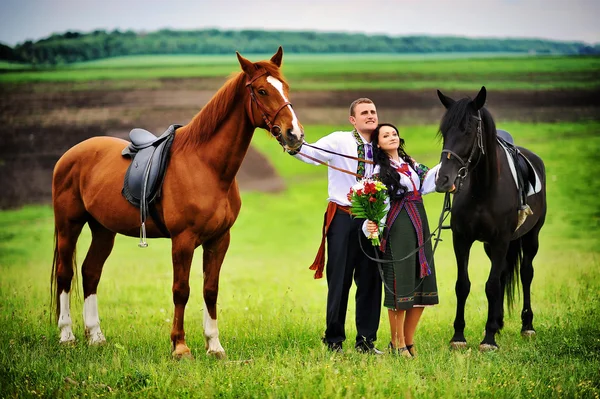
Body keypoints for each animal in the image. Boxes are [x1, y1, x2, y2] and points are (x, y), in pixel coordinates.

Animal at [50, 47, 304, 360]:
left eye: (285, 87)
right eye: (262, 90)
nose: (295, 135)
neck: (206, 166)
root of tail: (70, 155)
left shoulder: (219, 239)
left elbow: (210, 289)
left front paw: (214, 345)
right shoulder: (182, 240)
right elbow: (181, 290)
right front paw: (180, 347)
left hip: (103, 230)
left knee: (90, 272)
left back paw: (96, 337)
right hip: (69, 225)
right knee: (65, 273)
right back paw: (67, 336)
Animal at [434, 86, 548, 350]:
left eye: (467, 130)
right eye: (444, 131)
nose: (442, 179)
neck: (483, 188)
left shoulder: (500, 241)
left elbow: (492, 286)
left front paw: (488, 340)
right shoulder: (462, 240)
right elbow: (463, 285)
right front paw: (459, 336)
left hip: (531, 237)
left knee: (526, 273)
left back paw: (527, 326)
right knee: (505, 272)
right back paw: (497, 321)